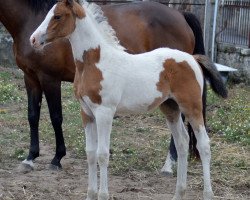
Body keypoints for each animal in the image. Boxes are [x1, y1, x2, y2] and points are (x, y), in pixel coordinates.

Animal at [0, 0, 227, 172]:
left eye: (57, 16)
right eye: (47, 15)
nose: (34, 39)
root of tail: (181, 14)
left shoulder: (49, 78)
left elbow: (56, 118)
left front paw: (57, 159)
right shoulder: (30, 77)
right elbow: (32, 116)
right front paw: (30, 158)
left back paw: (168, 166)